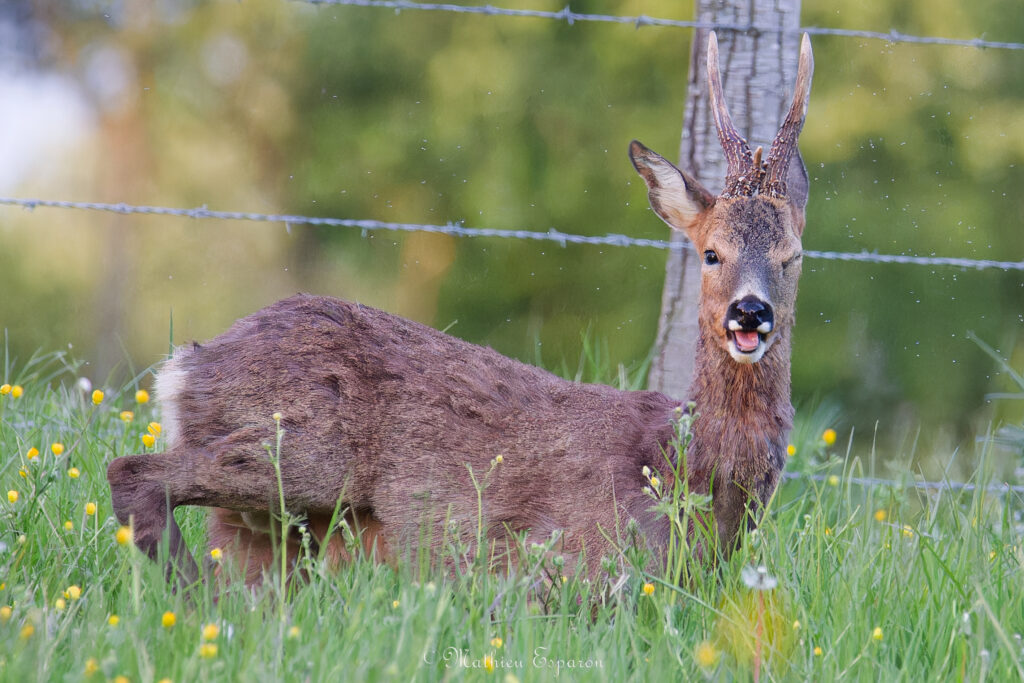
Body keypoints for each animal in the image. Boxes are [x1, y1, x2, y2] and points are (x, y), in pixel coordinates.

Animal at [108, 33, 815, 589]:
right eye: (711, 253)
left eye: (793, 255)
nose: (750, 314)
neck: (688, 472)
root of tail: (185, 370)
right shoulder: (576, 565)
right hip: (302, 450)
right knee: (133, 473)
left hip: (274, 524)